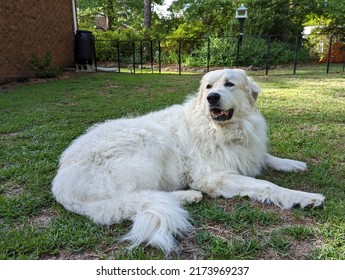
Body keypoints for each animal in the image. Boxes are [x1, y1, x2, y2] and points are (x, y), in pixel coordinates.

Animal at [52, 68, 324, 254]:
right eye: (208, 86)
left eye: (229, 84)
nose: (212, 97)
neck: (224, 130)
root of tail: (60, 185)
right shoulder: (213, 177)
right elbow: (267, 186)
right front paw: (304, 197)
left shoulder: (248, 151)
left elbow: (267, 157)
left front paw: (293, 164)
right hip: (149, 143)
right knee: (136, 197)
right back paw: (187, 196)